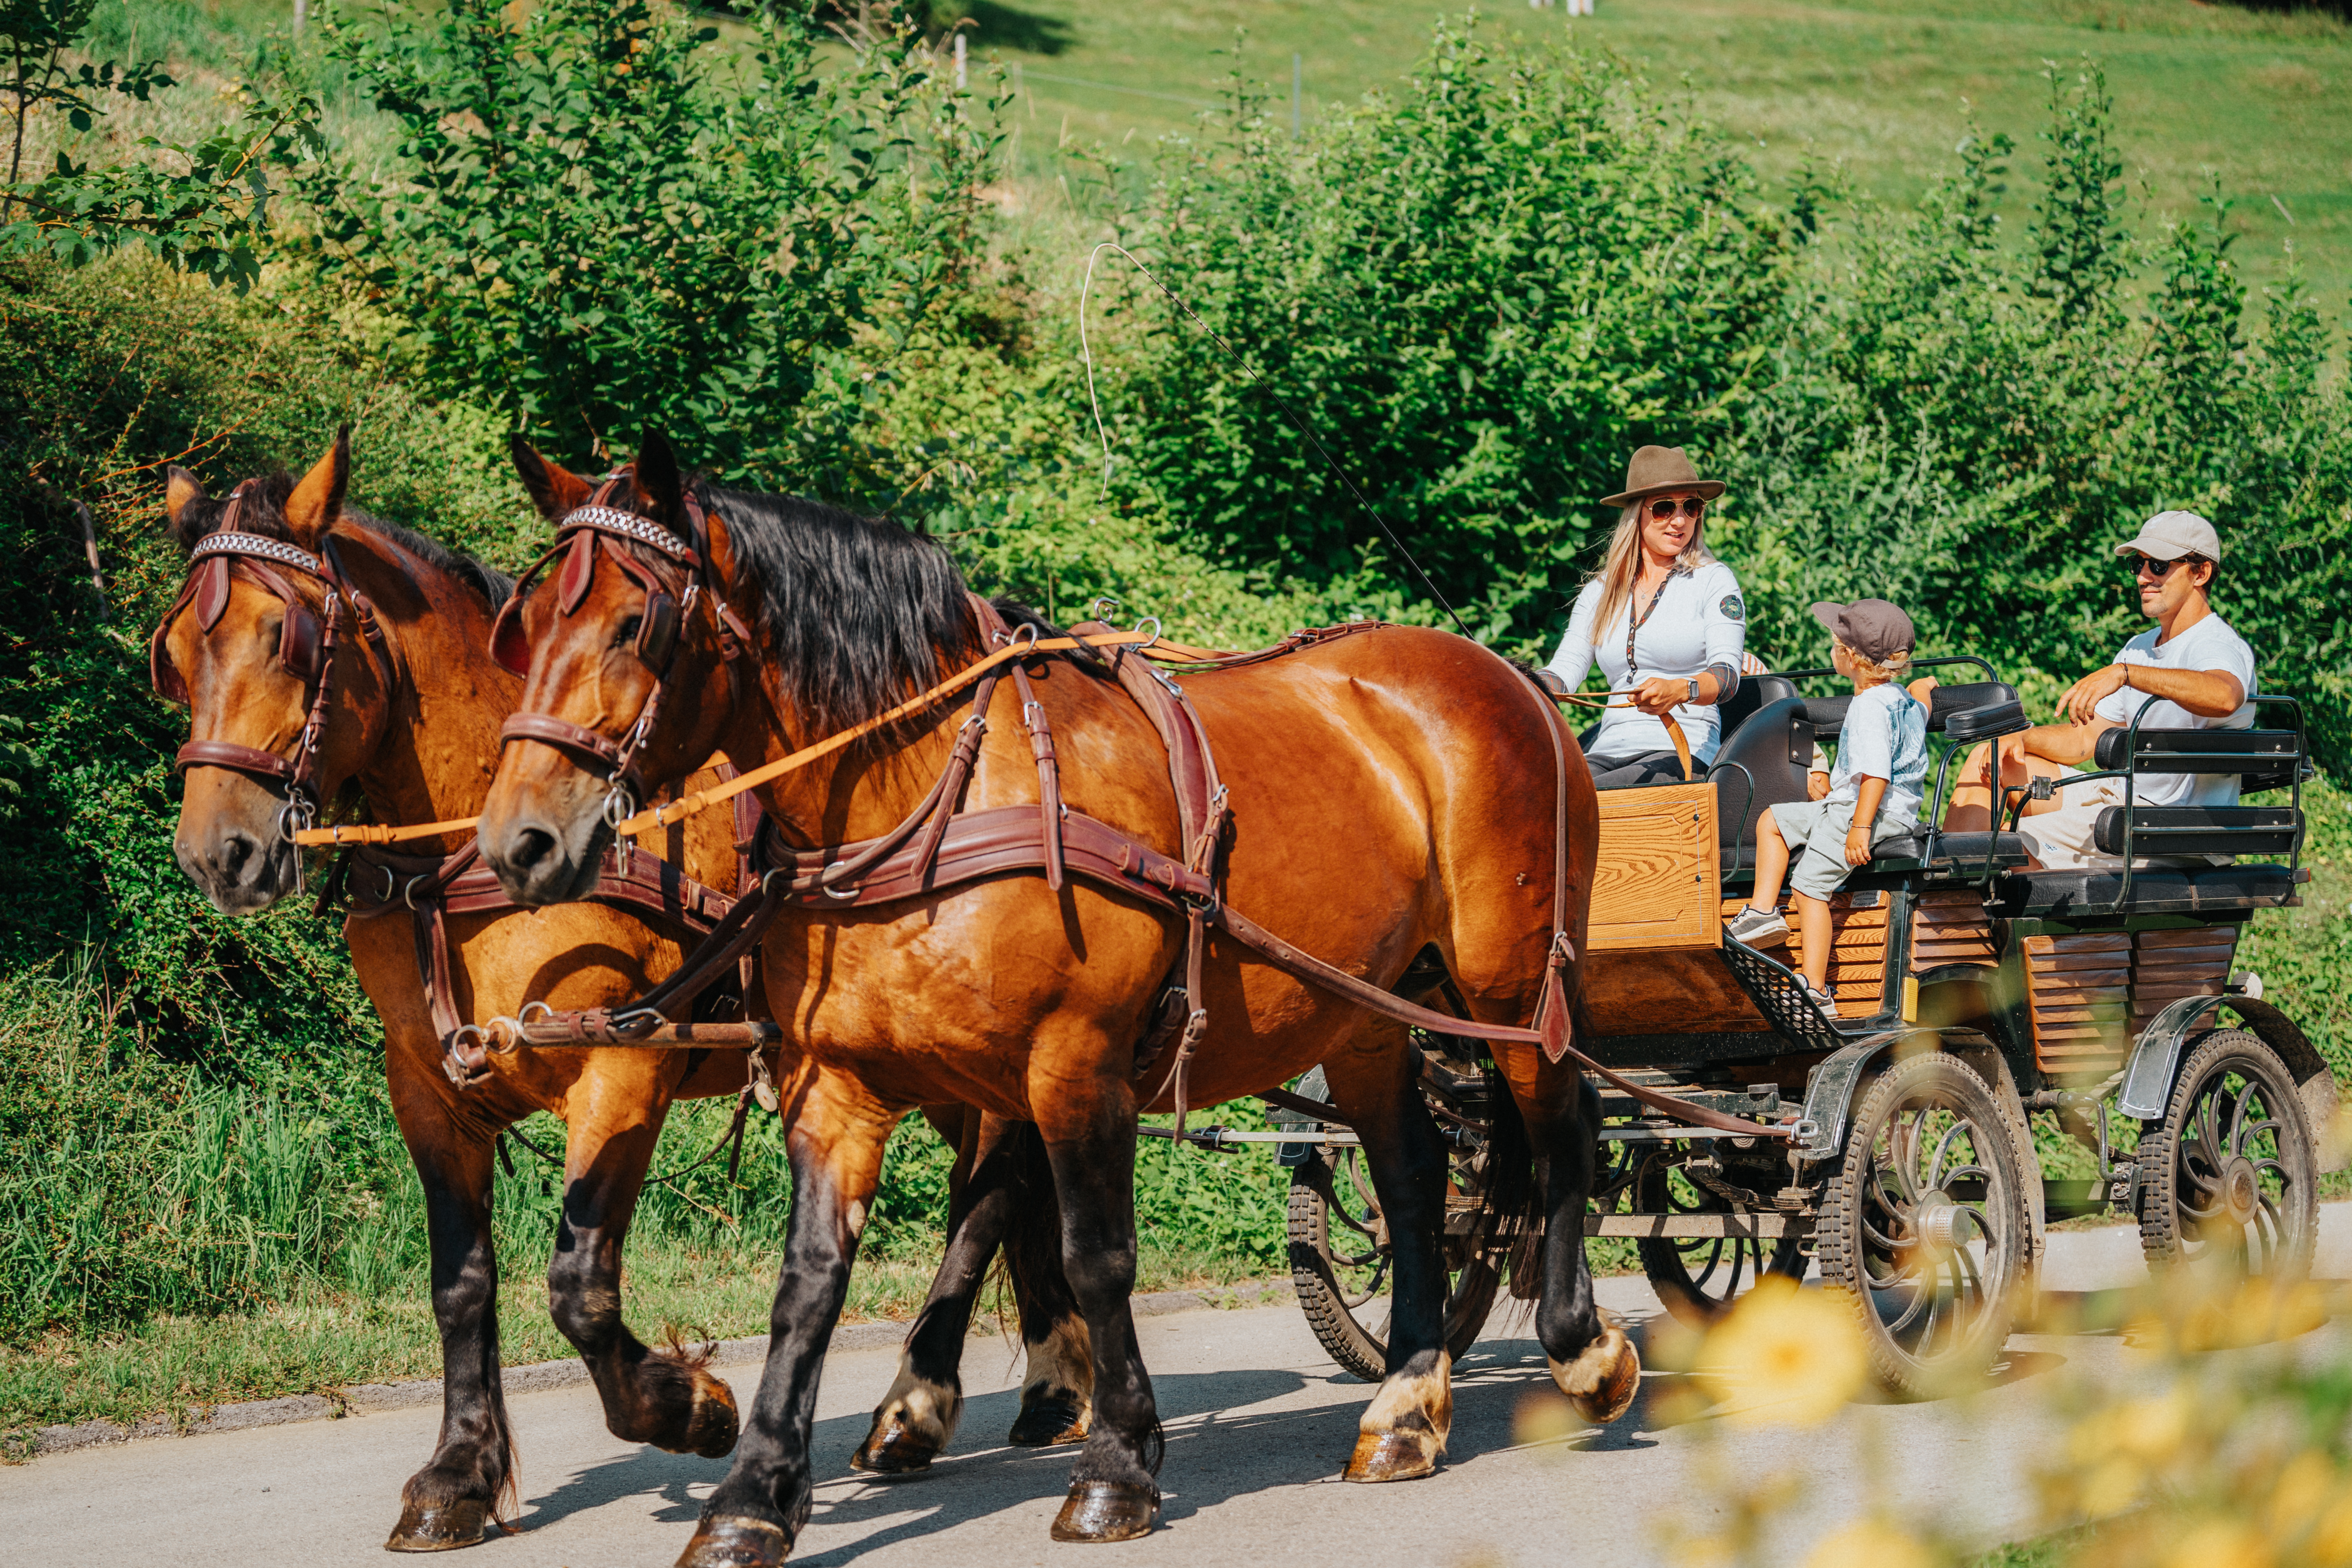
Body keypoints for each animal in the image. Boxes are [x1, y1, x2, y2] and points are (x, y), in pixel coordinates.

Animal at [161, 435, 767, 1552]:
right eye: (174, 650)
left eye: (283, 635)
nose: (216, 854)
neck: (463, 851)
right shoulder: (429, 1087)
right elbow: (461, 1284)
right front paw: (458, 1475)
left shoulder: (623, 1064)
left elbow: (579, 1288)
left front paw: (692, 1405)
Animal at [468, 439, 1628, 1568]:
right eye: (523, 630)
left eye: (635, 625)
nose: (518, 841)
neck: (932, 790)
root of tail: (1511, 678)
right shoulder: (835, 1085)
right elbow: (809, 1283)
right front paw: (752, 1499)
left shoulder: (1076, 1064)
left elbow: (1096, 1256)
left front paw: (1116, 1468)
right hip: (1369, 1014)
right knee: (1414, 1171)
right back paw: (1407, 1405)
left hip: (1515, 986)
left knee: (1564, 1128)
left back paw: (1583, 1349)